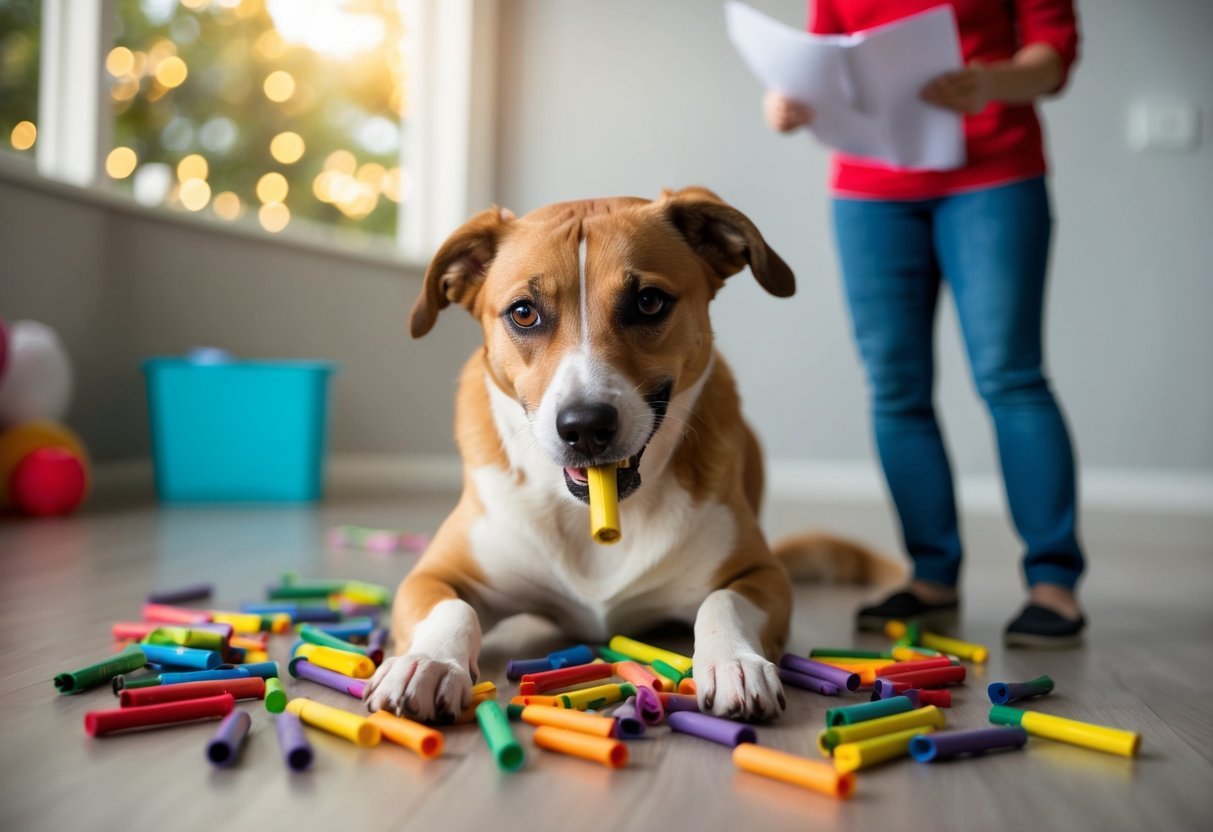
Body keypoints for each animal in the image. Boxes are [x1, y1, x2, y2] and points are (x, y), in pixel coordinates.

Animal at [363, 187, 887, 722]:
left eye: (648, 302)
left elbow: (722, 600)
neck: (597, 510)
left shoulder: (763, 574)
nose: (585, 427)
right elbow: (452, 608)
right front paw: (428, 662)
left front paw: (734, 661)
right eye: (524, 312)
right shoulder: (435, 573)